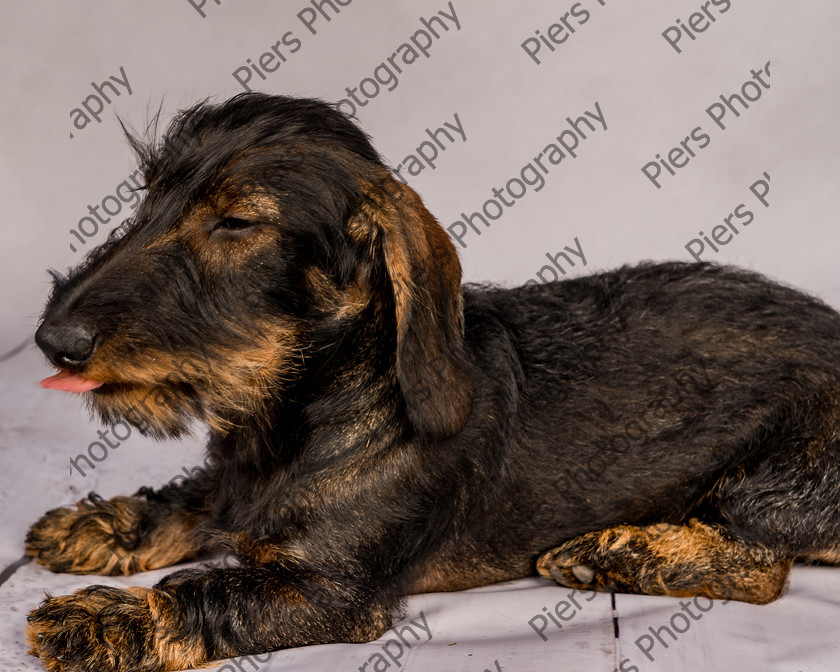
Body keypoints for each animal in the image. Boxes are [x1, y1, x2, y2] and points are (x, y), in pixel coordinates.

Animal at [23, 90, 840, 672]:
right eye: (148, 197)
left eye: (236, 222)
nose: (53, 341)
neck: (304, 412)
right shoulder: (230, 487)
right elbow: (189, 499)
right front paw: (103, 523)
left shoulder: (324, 594)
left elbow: (204, 593)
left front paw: (108, 618)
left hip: (772, 478)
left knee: (764, 566)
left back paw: (620, 553)